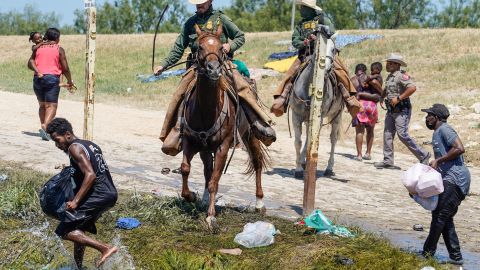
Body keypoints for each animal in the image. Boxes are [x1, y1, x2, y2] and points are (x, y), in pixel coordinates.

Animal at [181, 23, 270, 232]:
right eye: (199, 47)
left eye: (221, 47)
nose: (213, 69)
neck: (206, 110)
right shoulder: (191, 141)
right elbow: (186, 169)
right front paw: (191, 196)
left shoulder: (223, 146)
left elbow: (215, 181)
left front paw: (211, 217)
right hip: (206, 149)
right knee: (207, 171)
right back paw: (204, 199)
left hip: (250, 135)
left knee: (257, 162)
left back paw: (259, 203)